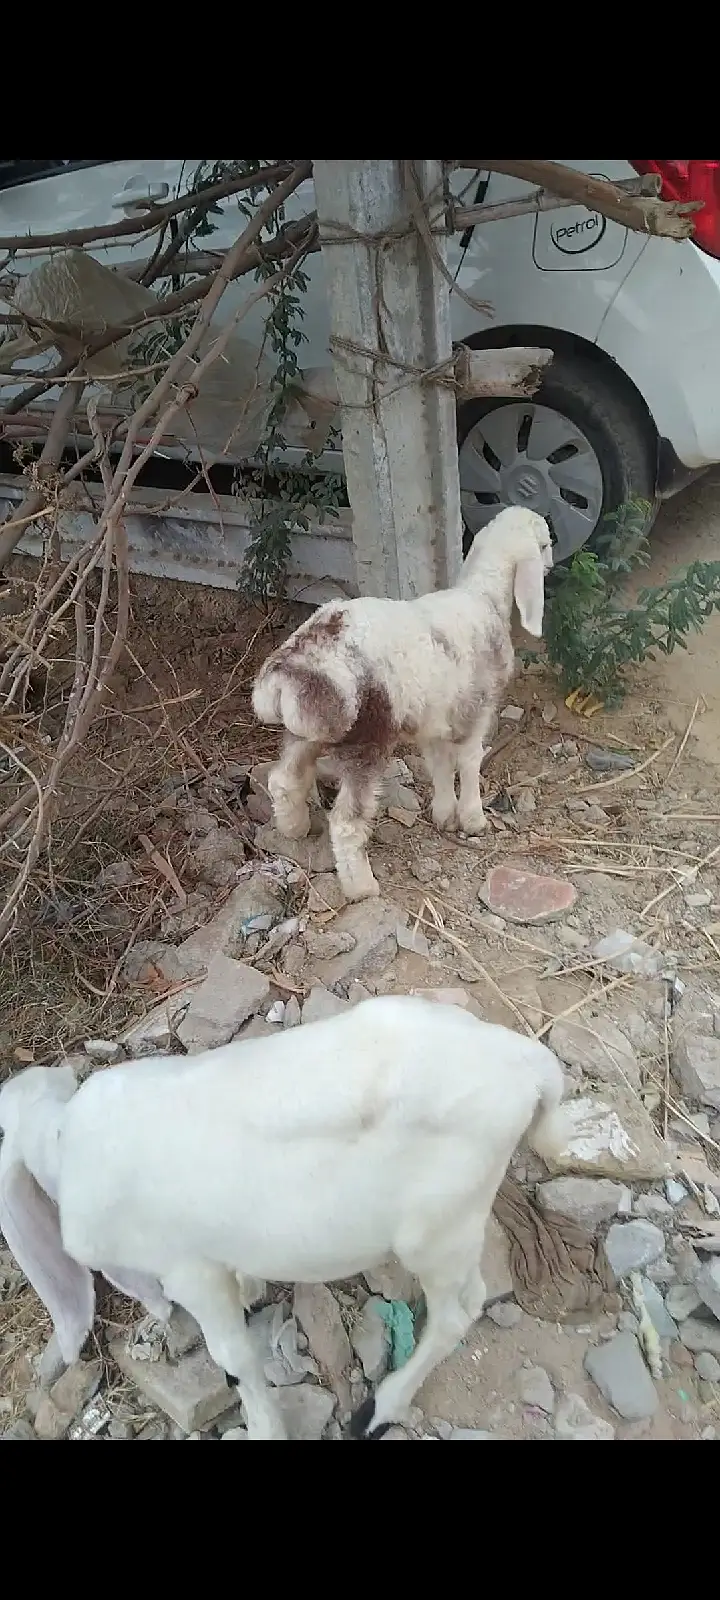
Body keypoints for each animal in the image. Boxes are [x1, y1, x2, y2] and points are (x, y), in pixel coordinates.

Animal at [0, 995, 567, 1440]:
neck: (62, 1144)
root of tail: (529, 1065)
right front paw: (251, 1289)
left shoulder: (190, 1270)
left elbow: (234, 1357)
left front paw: (265, 1426)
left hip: (440, 1227)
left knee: (459, 1310)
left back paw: (378, 1411)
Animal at [252, 506, 553, 901]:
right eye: (545, 543)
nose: (550, 565)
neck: (484, 596)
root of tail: (285, 675)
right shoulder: (478, 710)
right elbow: (470, 762)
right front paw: (473, 819)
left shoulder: (435, 718)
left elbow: (439, 765)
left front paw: (444, 813)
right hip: (368, 737)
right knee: (346, 823)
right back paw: (362, 888)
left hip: (309, 731)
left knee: (284, 781)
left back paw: (294, 828)